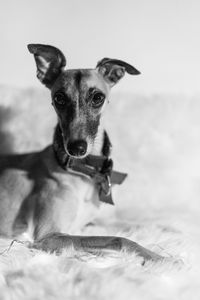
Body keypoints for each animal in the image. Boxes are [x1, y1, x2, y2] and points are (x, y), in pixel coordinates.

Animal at [0, 43, 162, 264]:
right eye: (59, 98)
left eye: (97, 97)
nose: (76, 148)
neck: (84, 172)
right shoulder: (49, 236)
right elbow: (118, 239)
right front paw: (161, 257)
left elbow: (126, 225)